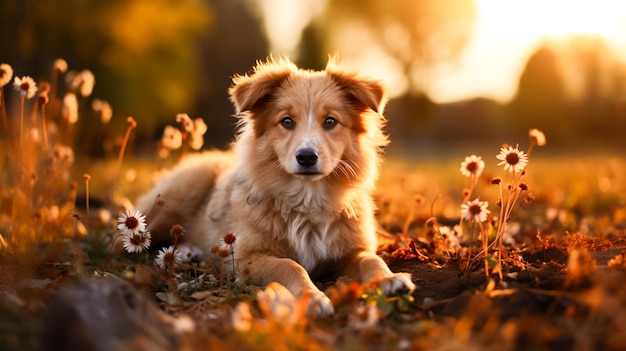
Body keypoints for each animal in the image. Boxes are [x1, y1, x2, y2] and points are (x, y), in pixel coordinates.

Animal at [134, 57, 412, 316]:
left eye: (331, 121)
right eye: (287, 121)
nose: (306, 157)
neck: (308, 200)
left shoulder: (351, 250)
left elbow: (370, 259)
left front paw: (389, 279)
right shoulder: (245, 259)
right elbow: (290, 265)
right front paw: (312, 297)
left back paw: (187, 253)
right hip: (177, 195)